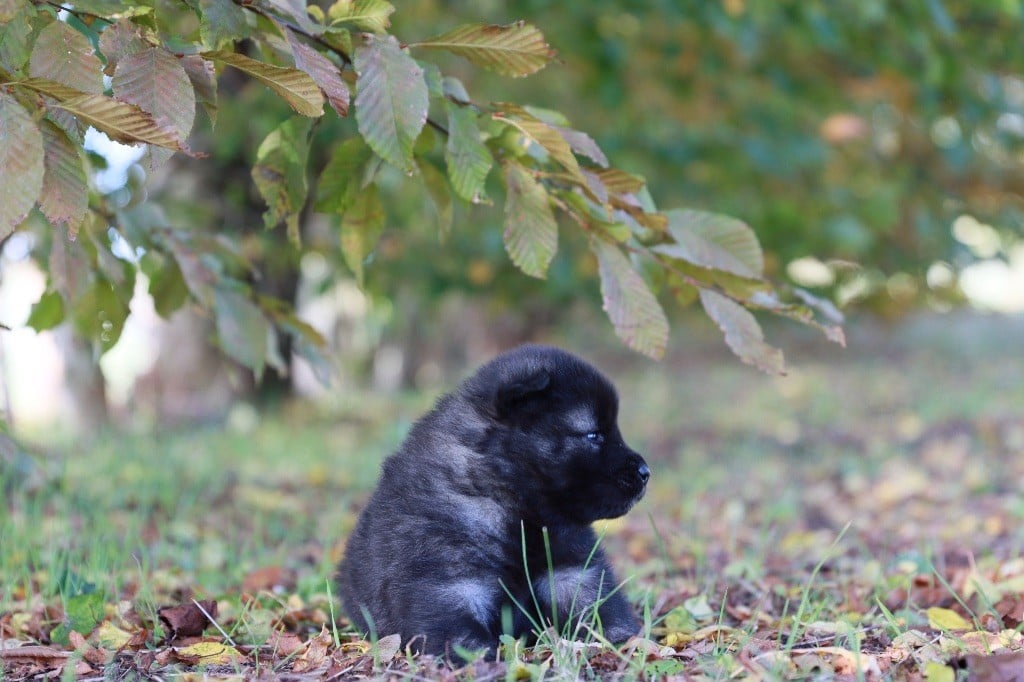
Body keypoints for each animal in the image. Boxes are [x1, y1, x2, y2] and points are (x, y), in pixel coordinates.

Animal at [339, 342, 651, 655]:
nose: (645, 472)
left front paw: (627, 643)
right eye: (594, 435)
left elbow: (602, 609)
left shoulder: (573, 572)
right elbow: (462, 637)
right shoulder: (448, 585)